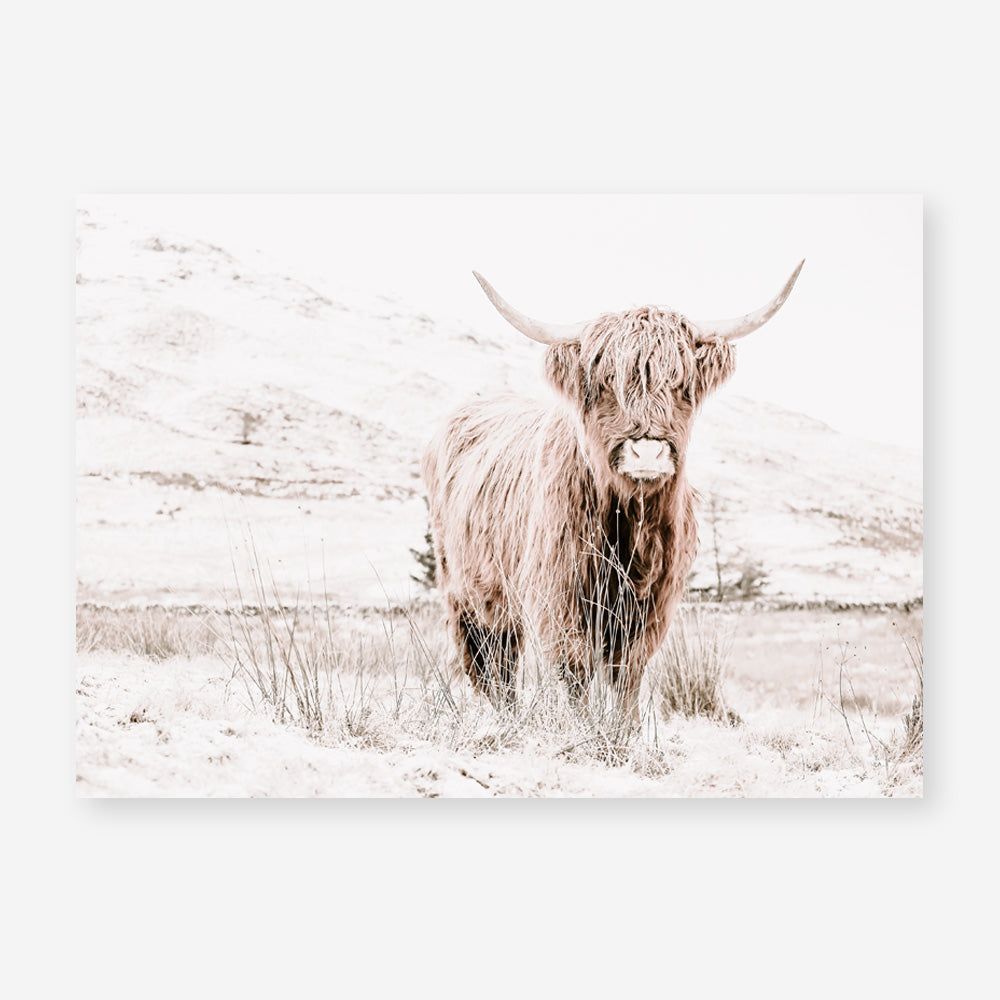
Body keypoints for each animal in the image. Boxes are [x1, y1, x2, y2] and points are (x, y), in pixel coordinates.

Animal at [421, 262, 803, 721]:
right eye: (606, 385)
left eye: (680, 385)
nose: (647, 451)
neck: (631, 525)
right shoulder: (560, 600)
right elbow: (575, 672)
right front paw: (585, 729)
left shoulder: (651, 608)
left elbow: (627, 676)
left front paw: (624, 730)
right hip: (468, 593)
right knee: (489, 664)